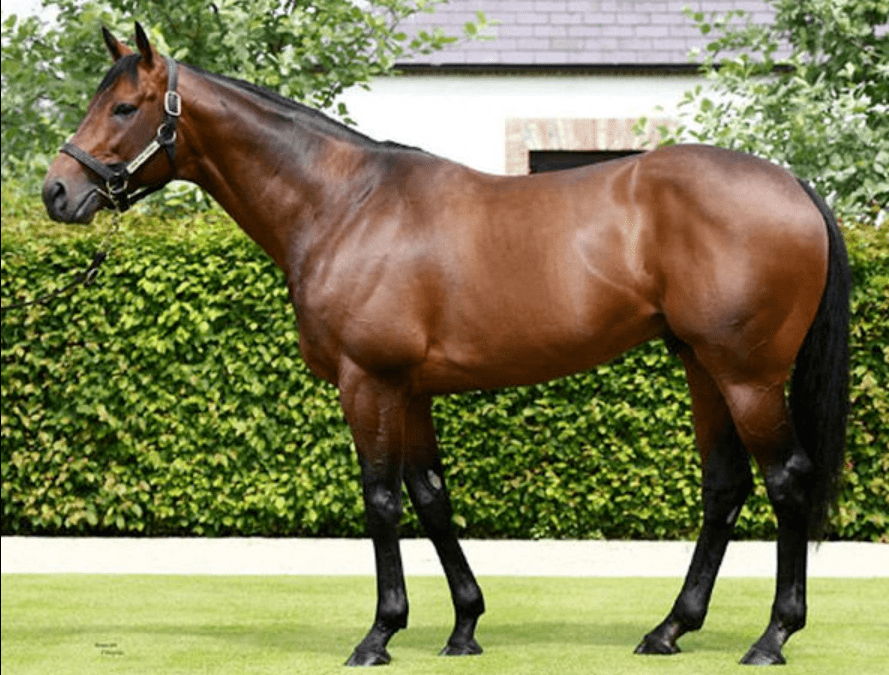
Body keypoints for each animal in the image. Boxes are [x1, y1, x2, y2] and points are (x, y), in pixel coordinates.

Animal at [43, 24, 850, 667]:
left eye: (123, 107)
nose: (56, 193)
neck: (345, 206)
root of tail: (794, 186)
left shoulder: (366, 382)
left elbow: (380, 499)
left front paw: (378, 635)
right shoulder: (411, 389)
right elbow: (431, 495)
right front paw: (464, 626)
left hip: (746, 375)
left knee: (786, 479)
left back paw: (772, 637)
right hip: (701, 366)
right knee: (725, 485)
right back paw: (669, 629)